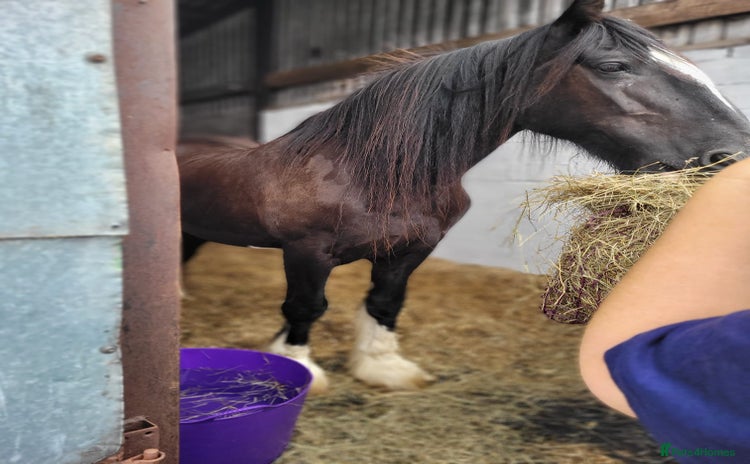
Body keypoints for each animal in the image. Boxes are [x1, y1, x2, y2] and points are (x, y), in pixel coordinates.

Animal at [178, 0, 750, 394]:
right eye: (612, 66)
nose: (732, 153)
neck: (367, 171)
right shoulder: (306, 253)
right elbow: (305, 308)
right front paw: (302, 370)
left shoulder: (407, 252)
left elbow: (385, 304)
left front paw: (384, 368)